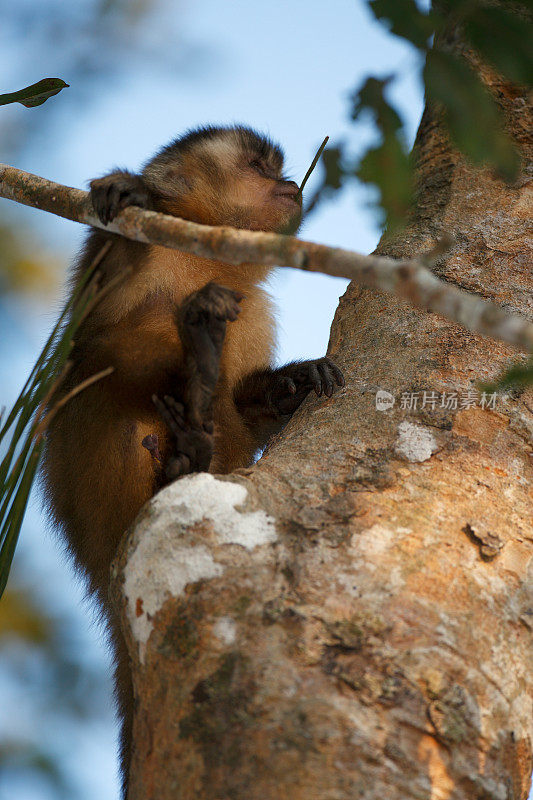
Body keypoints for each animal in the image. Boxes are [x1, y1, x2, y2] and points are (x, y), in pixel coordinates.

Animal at [40, 125, 340, 792]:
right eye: (258, 166)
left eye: (280, 169)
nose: (289, 184)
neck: (207, 258)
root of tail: (96, 568)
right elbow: (84, 340)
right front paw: (125, 192)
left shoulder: (255, 310)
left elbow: (246, 400)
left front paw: (291, 385)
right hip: (90, 488)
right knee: (111, 362)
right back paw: (190, 402)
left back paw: (196, 435)